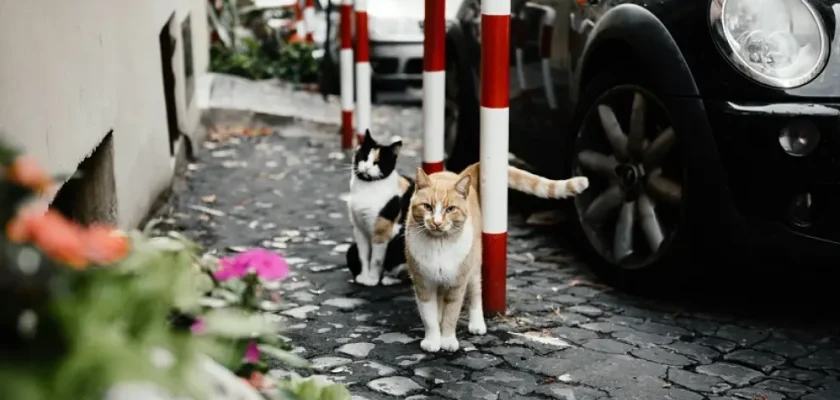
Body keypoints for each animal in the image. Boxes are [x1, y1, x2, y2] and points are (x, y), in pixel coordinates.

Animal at [348, 130, 414, 284]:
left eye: (377, 163)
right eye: (364, 157)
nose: (366, 167)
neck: (367, 187)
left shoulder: (381, 231)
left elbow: (376, 259)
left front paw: (372, 279)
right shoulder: (359, 230)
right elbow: (364, 256)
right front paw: (364, 276)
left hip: (399, 244)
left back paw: (388, 279)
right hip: (351, 249)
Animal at [404, 164, 588, 352]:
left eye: (450, 209)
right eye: (427, 207)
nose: (437, 223)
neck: (439, 244)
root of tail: (461, 173)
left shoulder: (457, 284)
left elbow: (452, 314)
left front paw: (447, 339)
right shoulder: (423, 284)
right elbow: (429, 317)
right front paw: (433, 340)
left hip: (473, 268)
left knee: (476, 294)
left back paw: (477, 324)